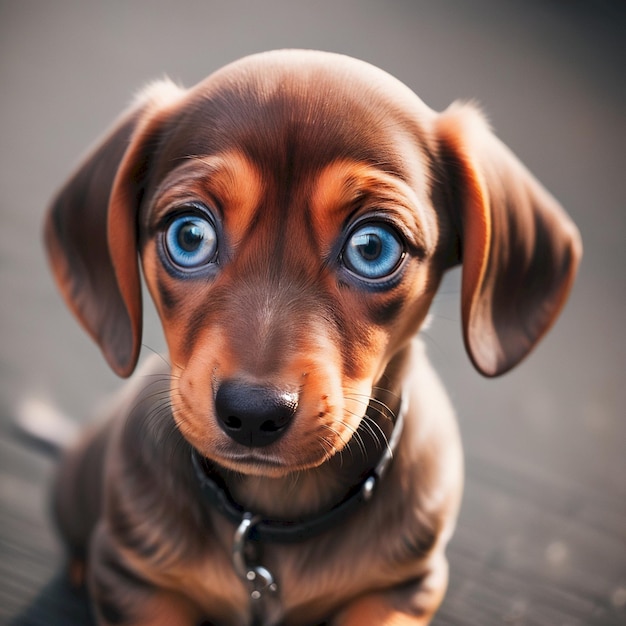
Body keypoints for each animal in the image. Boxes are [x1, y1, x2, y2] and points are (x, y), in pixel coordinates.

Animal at [44, 50, 580, 624]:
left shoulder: (403, 589)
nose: (252, 413)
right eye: (189, 235)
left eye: (372, 247)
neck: (274, 518)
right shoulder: (132, 579)